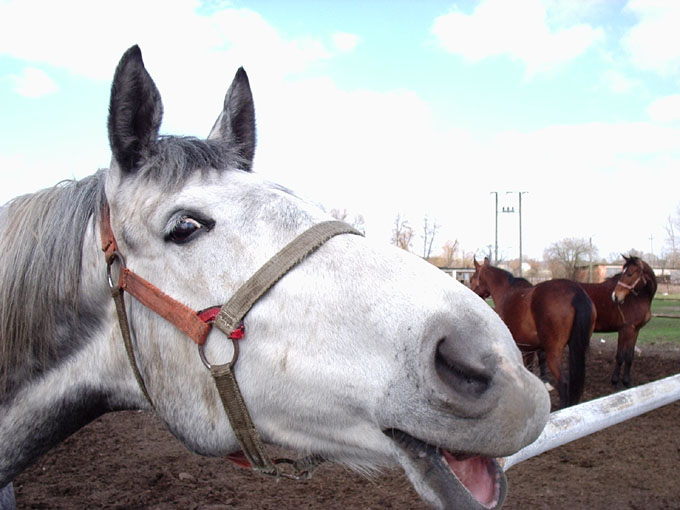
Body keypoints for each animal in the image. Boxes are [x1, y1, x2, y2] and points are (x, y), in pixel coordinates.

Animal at [472, 258, 596, 406]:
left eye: (472, 278)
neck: (506, 293)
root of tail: (576, 292)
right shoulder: (531, 347)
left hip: (554, 353)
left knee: (563, 383)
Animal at [580, 255, 656, 386]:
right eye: (623, 273)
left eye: (630, 274)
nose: (615, 297)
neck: (638, 298)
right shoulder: (624, 330)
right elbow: (620, 356)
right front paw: (615, 381)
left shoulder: (635, 331)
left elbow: (629, 357)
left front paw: (627, 381)